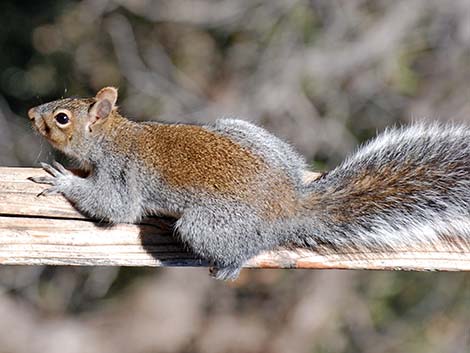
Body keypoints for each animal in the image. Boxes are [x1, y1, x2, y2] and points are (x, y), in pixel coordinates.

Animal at [27, 86, 470, 280]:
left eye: (62, 118)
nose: (32, 113)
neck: (114, 135)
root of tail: (289, 204)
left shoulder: (122, 173)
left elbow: (115, 207)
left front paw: (61, 179)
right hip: (242, 131)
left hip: (206, 226)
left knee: (245, 248)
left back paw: (228, 266)